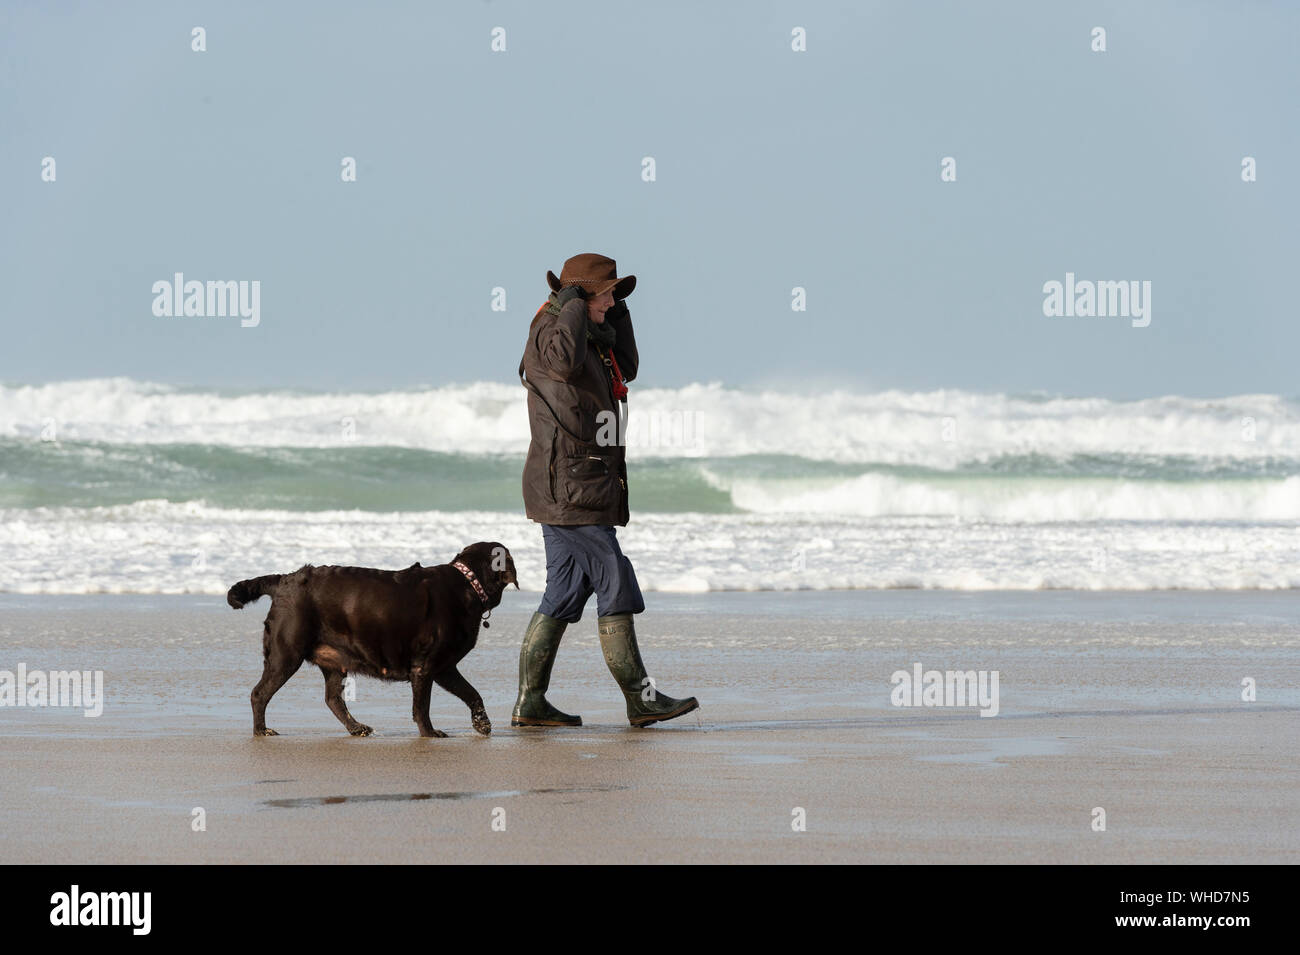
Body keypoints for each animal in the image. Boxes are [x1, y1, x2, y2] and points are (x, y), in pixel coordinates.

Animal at [226, 537, 514, 738]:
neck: (469, 583)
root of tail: (284, 580)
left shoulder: (445, 667)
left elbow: (472, 693)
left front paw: (482, 723)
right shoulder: (426, 667)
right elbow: (422, 707)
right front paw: (430, 733)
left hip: (333, 659)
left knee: (333, 699)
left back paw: (356, 728)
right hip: (286, 653)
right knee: (259, 693)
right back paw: (262, 730)